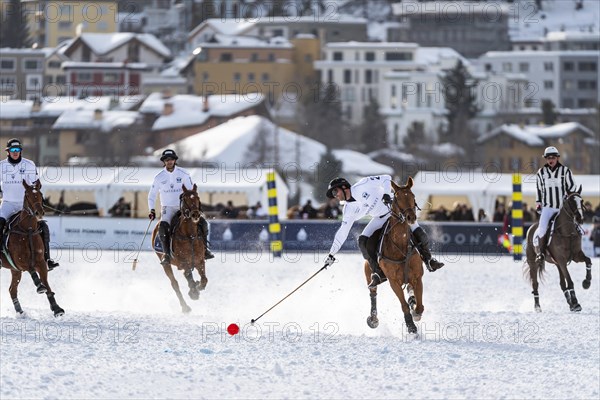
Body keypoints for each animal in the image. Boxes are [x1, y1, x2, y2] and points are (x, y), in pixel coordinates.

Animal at [0, 180, 64, 316]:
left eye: (40, 194)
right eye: (28, 195)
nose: (39, 213)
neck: (27, 229)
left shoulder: (40, 262)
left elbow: (47, 284)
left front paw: (56, 308)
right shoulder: (20, 262)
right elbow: (32, 269)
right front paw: (39, 286)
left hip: (15, 270)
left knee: (12, 289)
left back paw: (20, 312)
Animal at [151, 184, 207, 312]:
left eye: (197, 197)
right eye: (184, 198)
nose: (195, 215)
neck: (190, 235)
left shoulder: (200, 261)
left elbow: (204, 280)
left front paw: (197, 287)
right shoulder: (183, 262)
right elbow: (188, 277)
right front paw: (193, 292)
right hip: (165, 263)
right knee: (174, 283)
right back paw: (185, 307)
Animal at [364, 177, 424, 336]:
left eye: (413, 196)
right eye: (396, 198)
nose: (411, 217)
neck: (400, 245)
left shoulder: (417, 276)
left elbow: (419, 306)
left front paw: (415, 312)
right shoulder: (393, 281)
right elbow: (403, 305)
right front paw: (411, 326)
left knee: (410, 291)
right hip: (368, 273)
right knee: (373, 292)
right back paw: (373, 319)